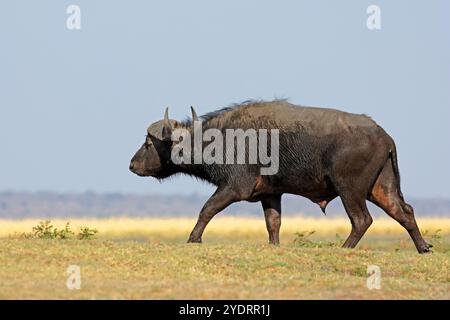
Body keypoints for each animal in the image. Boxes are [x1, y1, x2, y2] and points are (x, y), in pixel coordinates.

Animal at [129, 99, 428, 252]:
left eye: (148, 144)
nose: (132, 165)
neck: (217, 139)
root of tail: (384, 135)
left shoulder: (233, 188)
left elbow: (207, 209)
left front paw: (194, 238)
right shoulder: (271, 194)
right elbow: (273, 223)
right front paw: (274, 246)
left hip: (350, 189)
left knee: (362, 220)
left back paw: (345, 247)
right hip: (381, 188)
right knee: (404, 212)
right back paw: (423, 247)